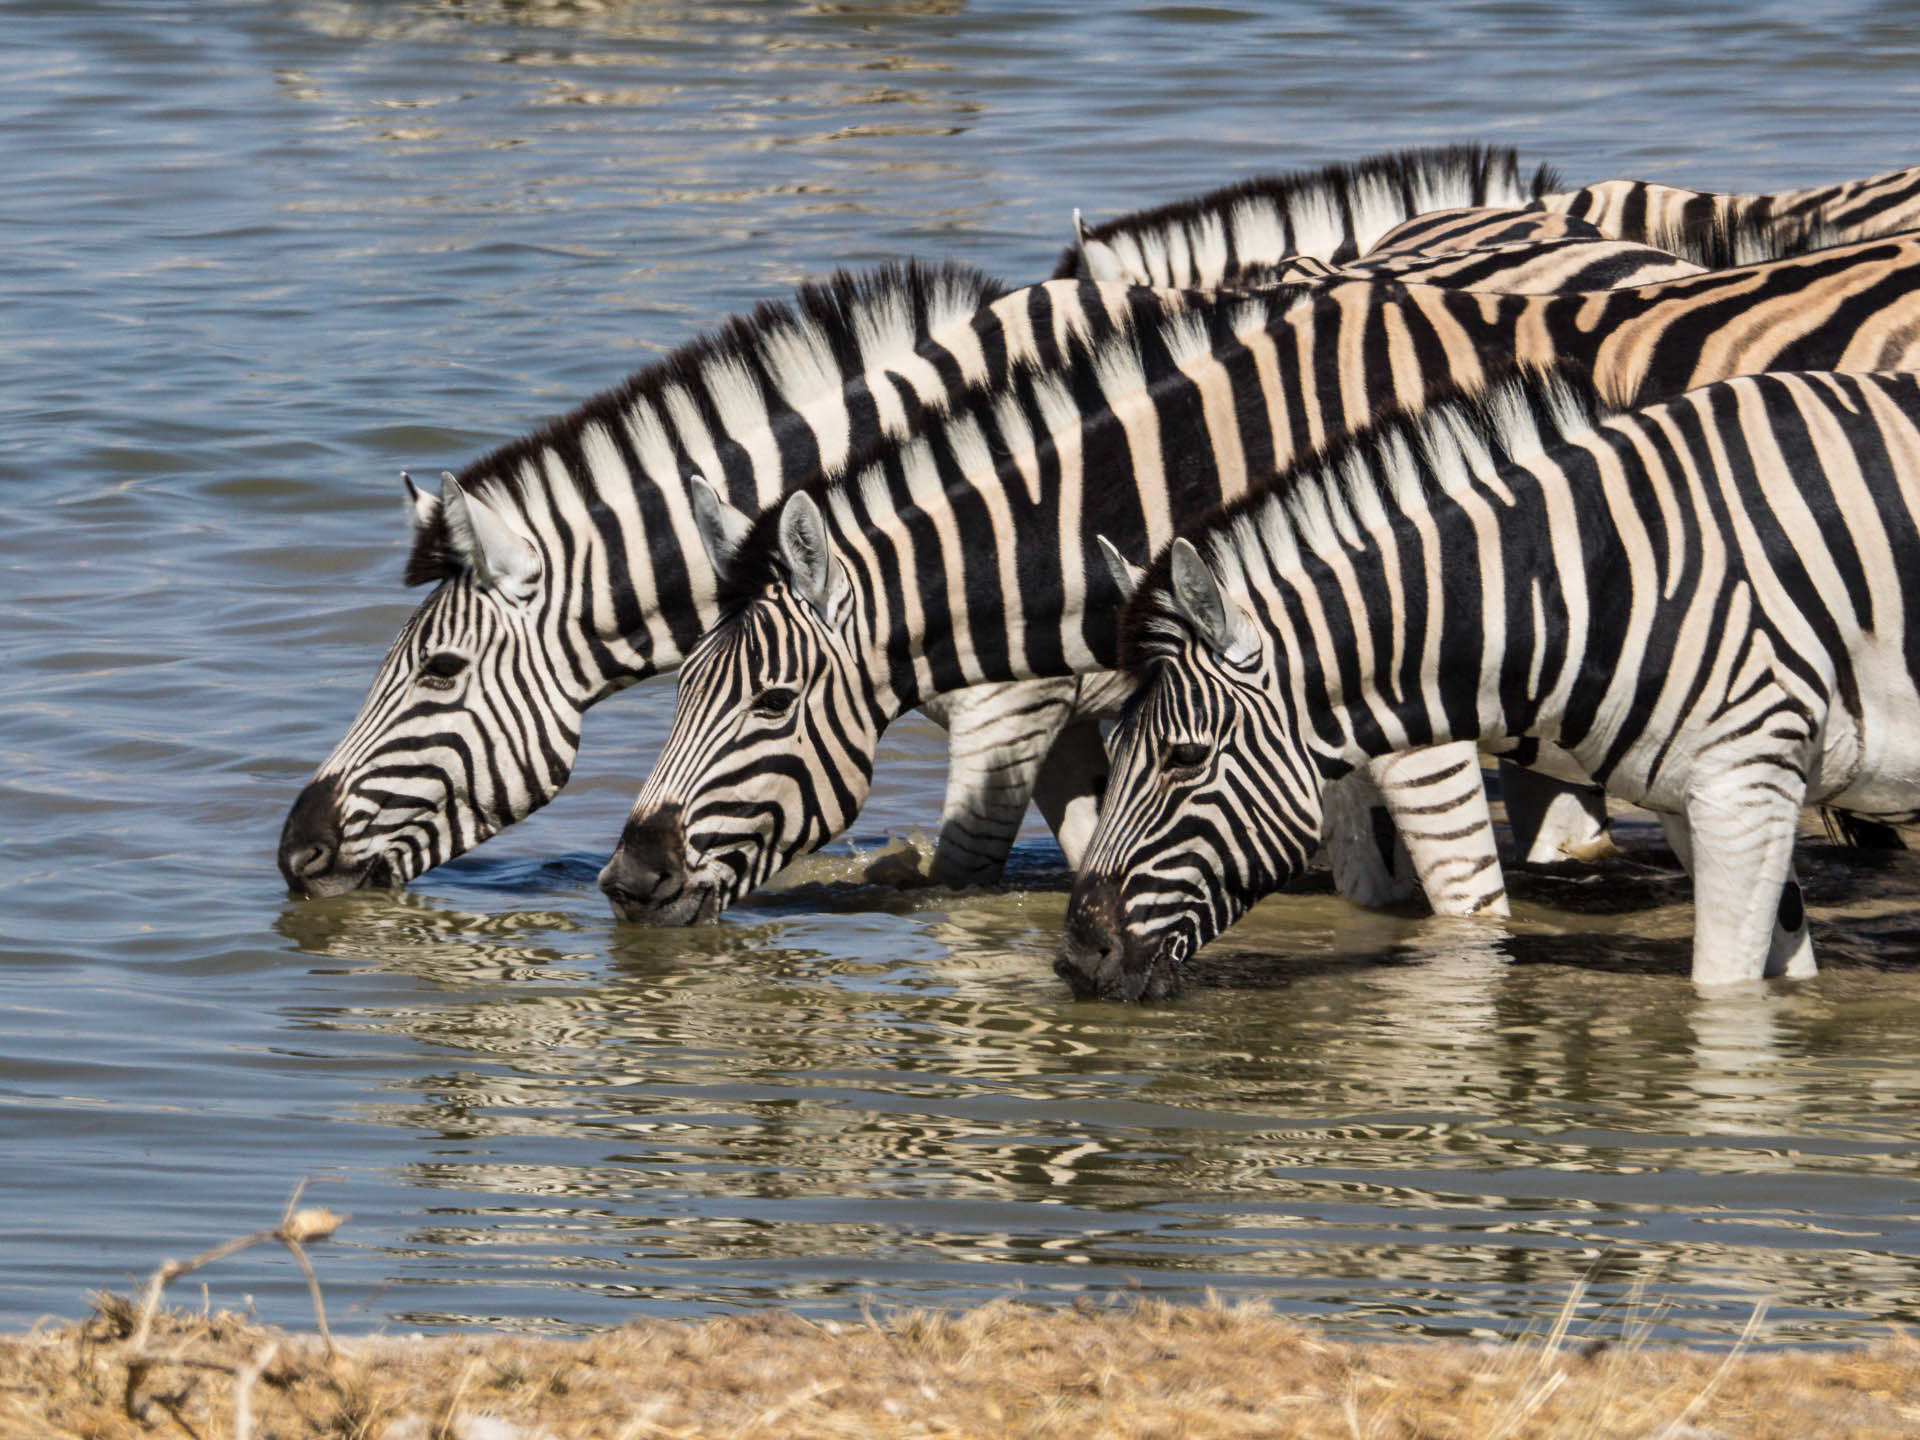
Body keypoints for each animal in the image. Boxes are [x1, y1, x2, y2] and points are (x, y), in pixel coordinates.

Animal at [602, 231, 1920, 932]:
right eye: (678, 692)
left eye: (770, 703)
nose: (627, 880)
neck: (1231, 452)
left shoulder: (1419, 695)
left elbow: (1460, 900)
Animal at [1057, 365, 1920, 1001]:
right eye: (1115, 749)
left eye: (1184, 759)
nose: (1076, 958)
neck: (1605, 578)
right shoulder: (1700, 801)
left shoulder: (1748, 785)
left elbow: (1725, 995)